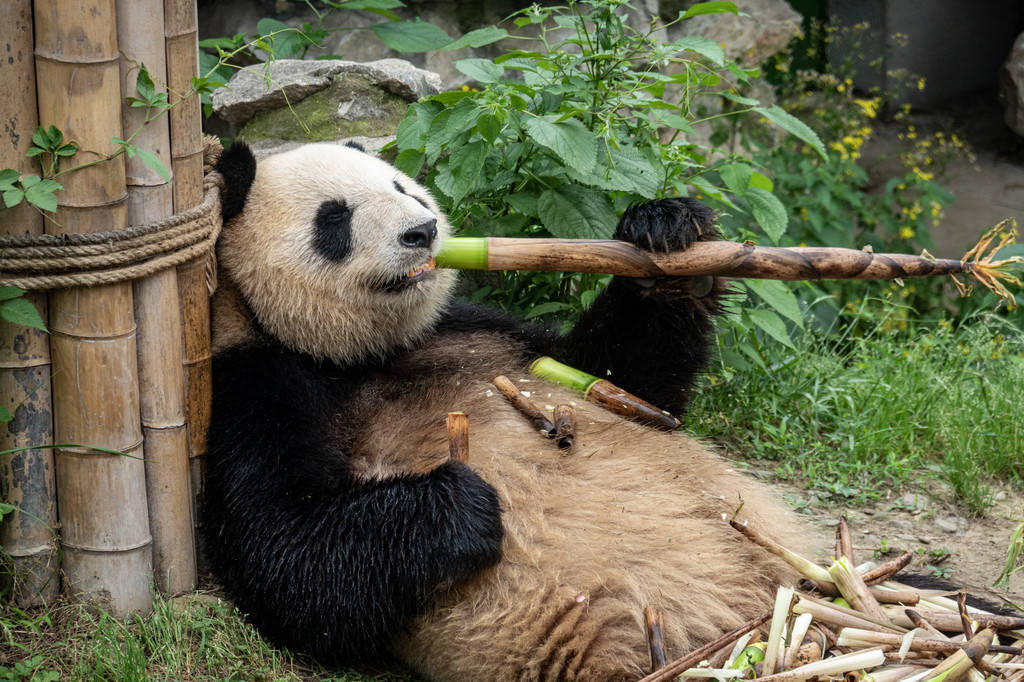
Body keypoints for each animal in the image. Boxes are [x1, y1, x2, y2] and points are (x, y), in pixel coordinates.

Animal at [203, 140, 811, 675]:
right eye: (334, 218)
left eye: (402, 187)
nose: (422, 231)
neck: (360, 355)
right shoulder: (256, 380)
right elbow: (287, 554)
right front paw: (460, 504)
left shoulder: (477, 329)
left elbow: (625, 379)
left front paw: (667, 230)